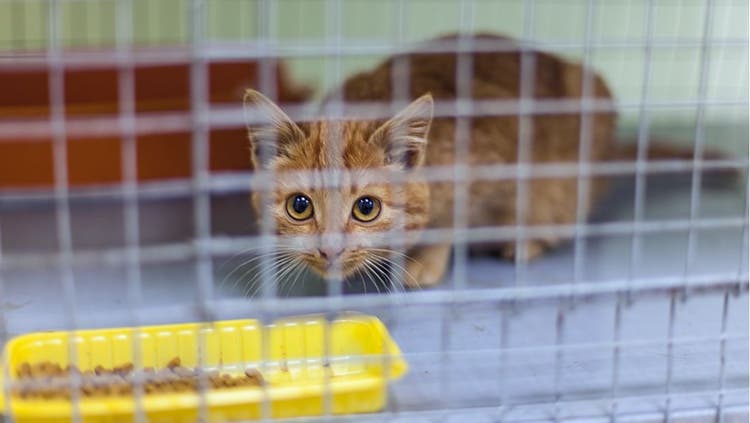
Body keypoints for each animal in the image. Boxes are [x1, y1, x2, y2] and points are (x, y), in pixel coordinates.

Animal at [243, 33, 711, 289]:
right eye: (299, 206)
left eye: (366, 208)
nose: (329, 249)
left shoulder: (486, 172)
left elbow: (452, 224)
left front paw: (424, 262)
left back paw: (524, 242)